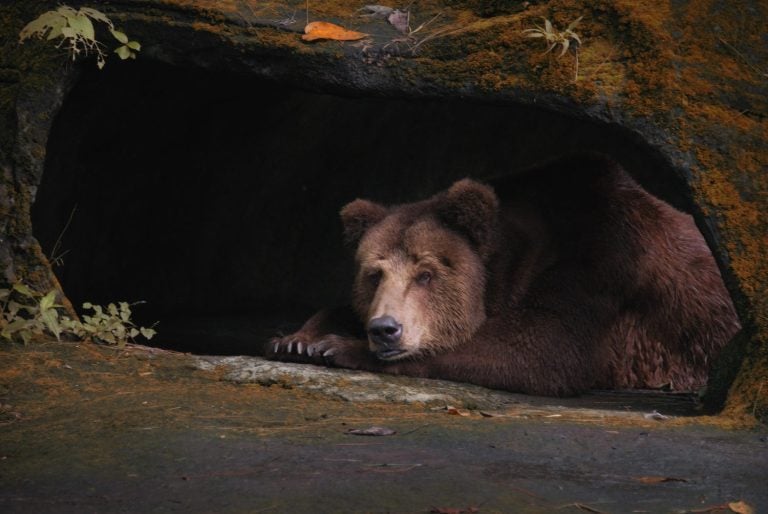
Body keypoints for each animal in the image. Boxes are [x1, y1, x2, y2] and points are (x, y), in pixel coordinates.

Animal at [266, 154, 740, 396]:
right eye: (373, 274)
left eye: (426, 273)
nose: (385, 329)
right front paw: (297, 338)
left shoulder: (601, 266)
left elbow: (536, 351)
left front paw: (337, 346)